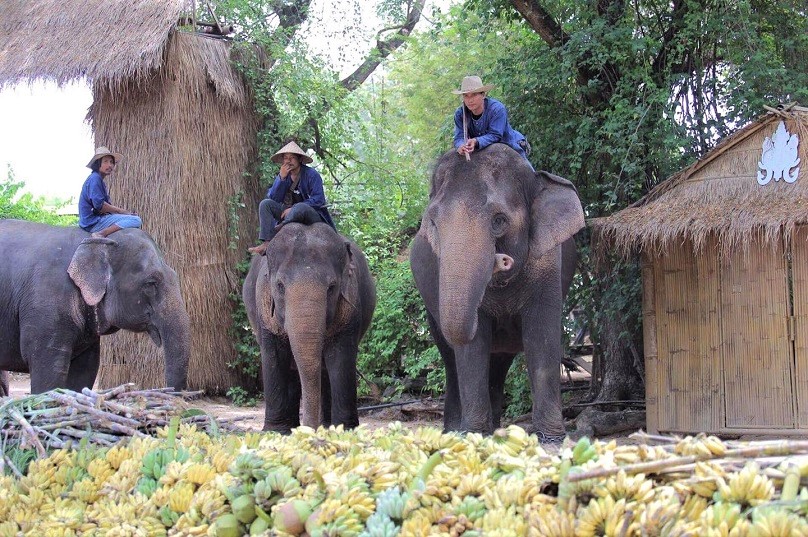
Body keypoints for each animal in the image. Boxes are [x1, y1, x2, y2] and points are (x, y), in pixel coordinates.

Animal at [241, 221, 378, 432]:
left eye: (332, 287)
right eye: (279, 285)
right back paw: (290, 428)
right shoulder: (263, 306)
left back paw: (327, 425)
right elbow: (274, 356)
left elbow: (341, 358)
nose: (311, 430)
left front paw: (345, 430)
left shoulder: (350, 304)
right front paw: (274, 431)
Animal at [408, 142, 584, 440]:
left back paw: (492, 428)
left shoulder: (548, 263)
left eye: (499, 220)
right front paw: (473, 434)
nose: (501, 259)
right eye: (433, 224)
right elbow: (473, 346)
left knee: (499, 360)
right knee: (450, 358)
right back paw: (456, 431)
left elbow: (541, 338)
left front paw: (551, 438)